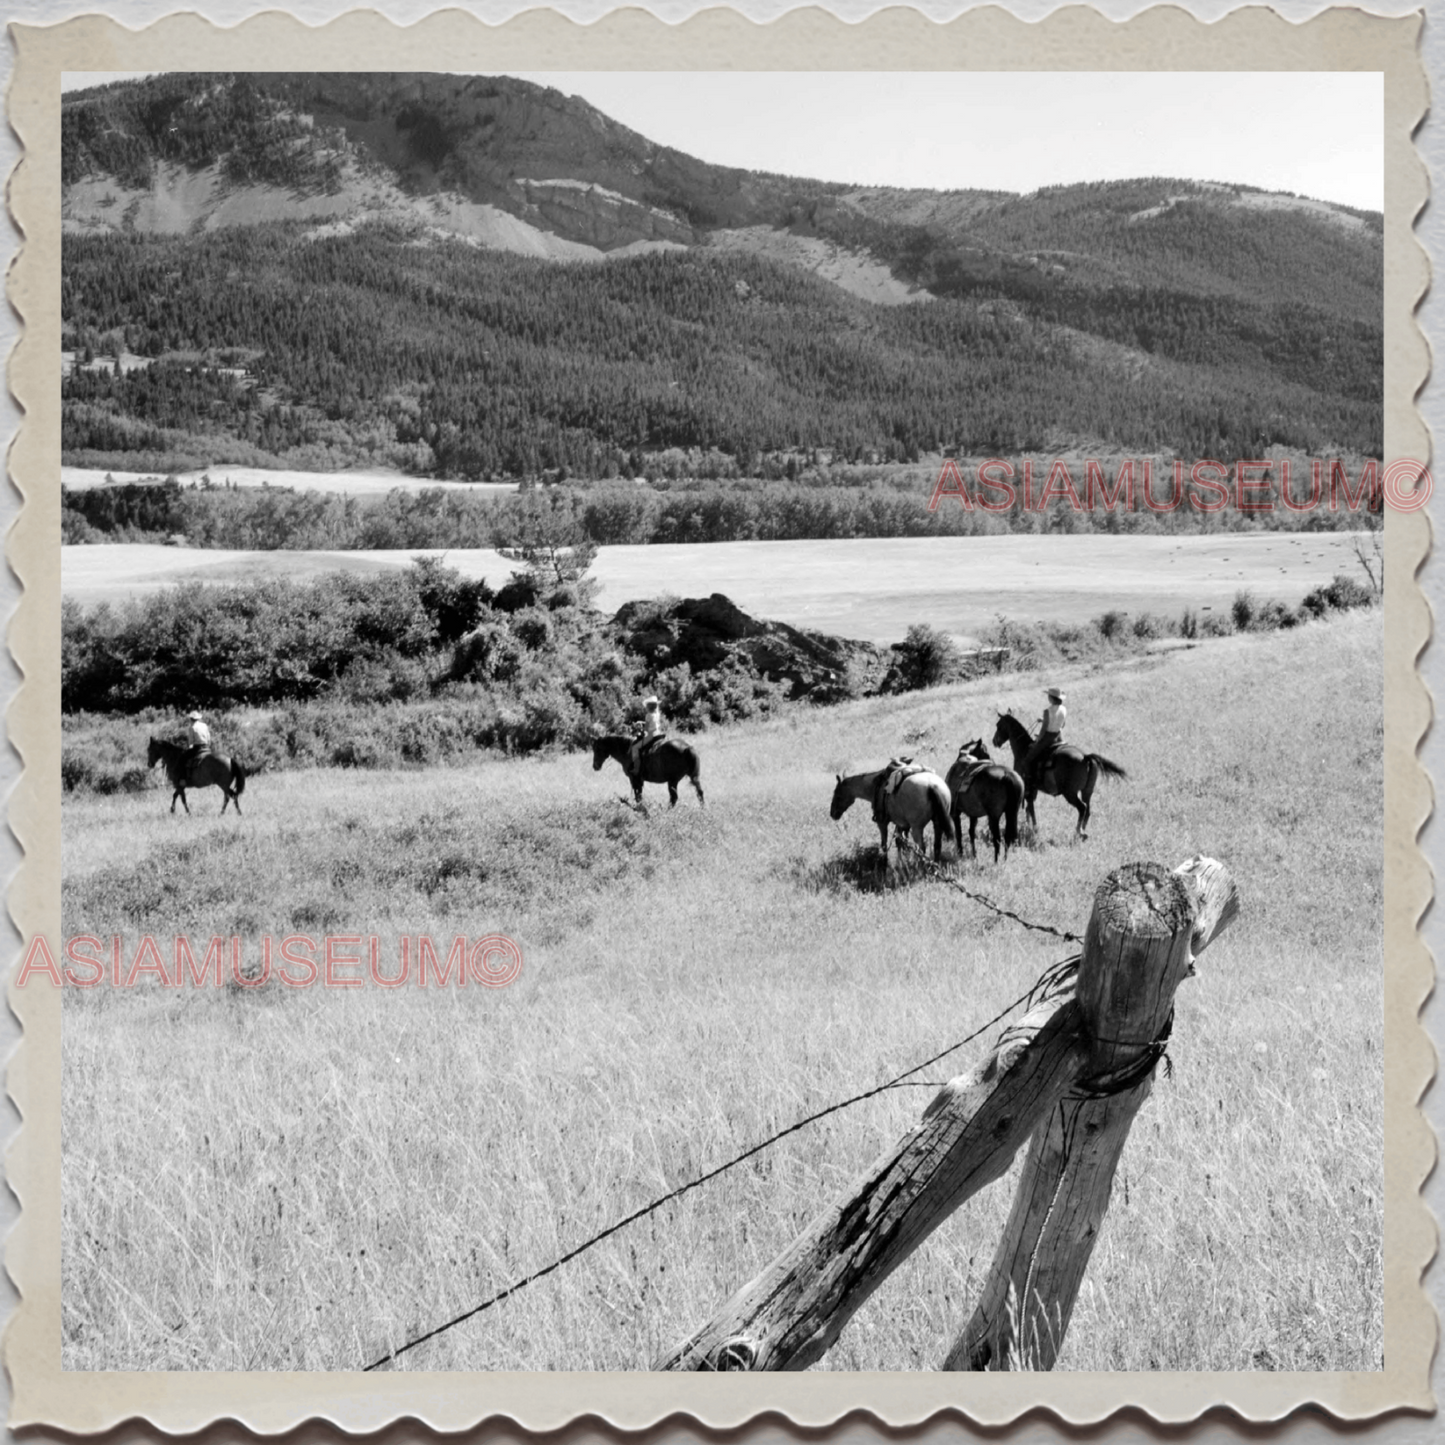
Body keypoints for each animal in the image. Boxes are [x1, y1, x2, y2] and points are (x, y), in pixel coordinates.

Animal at [994, 708, 1127, 843]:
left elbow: (1030, 807)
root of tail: (1085, 757)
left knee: (1082, 808)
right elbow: (1029, 808)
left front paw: (1033, 828)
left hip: (1070, 793)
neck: (1024, 750)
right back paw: (1083, 832)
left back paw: (1079, 831)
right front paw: (1028, 826)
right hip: (1087, 792)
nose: (994, 741)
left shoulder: (1027, 787)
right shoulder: (1033, 789)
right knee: (1088, 809)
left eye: (998, 726)